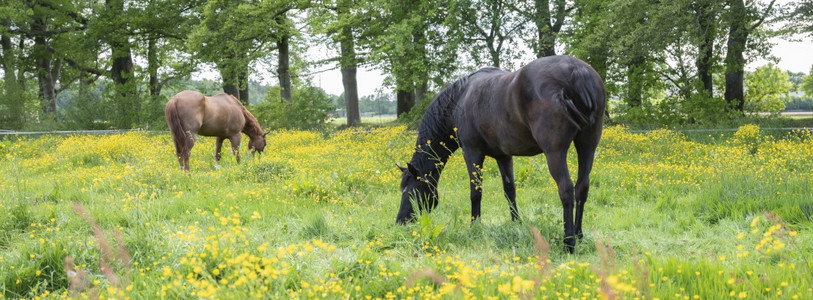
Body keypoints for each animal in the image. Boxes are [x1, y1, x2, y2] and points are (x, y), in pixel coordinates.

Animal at [394, 55, 604, 253]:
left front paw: (474, 226)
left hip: (555, 152)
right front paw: (516, 223)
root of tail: (577, 72)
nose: (400, 222)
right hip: (587, 146)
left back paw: (569, 242)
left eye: (409, 190)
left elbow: (476, 192)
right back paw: (579, 234)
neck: (459, 99)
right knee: (582, 187)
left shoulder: (472, 152)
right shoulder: (504, 156)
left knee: (566, 190)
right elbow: (510, 191)